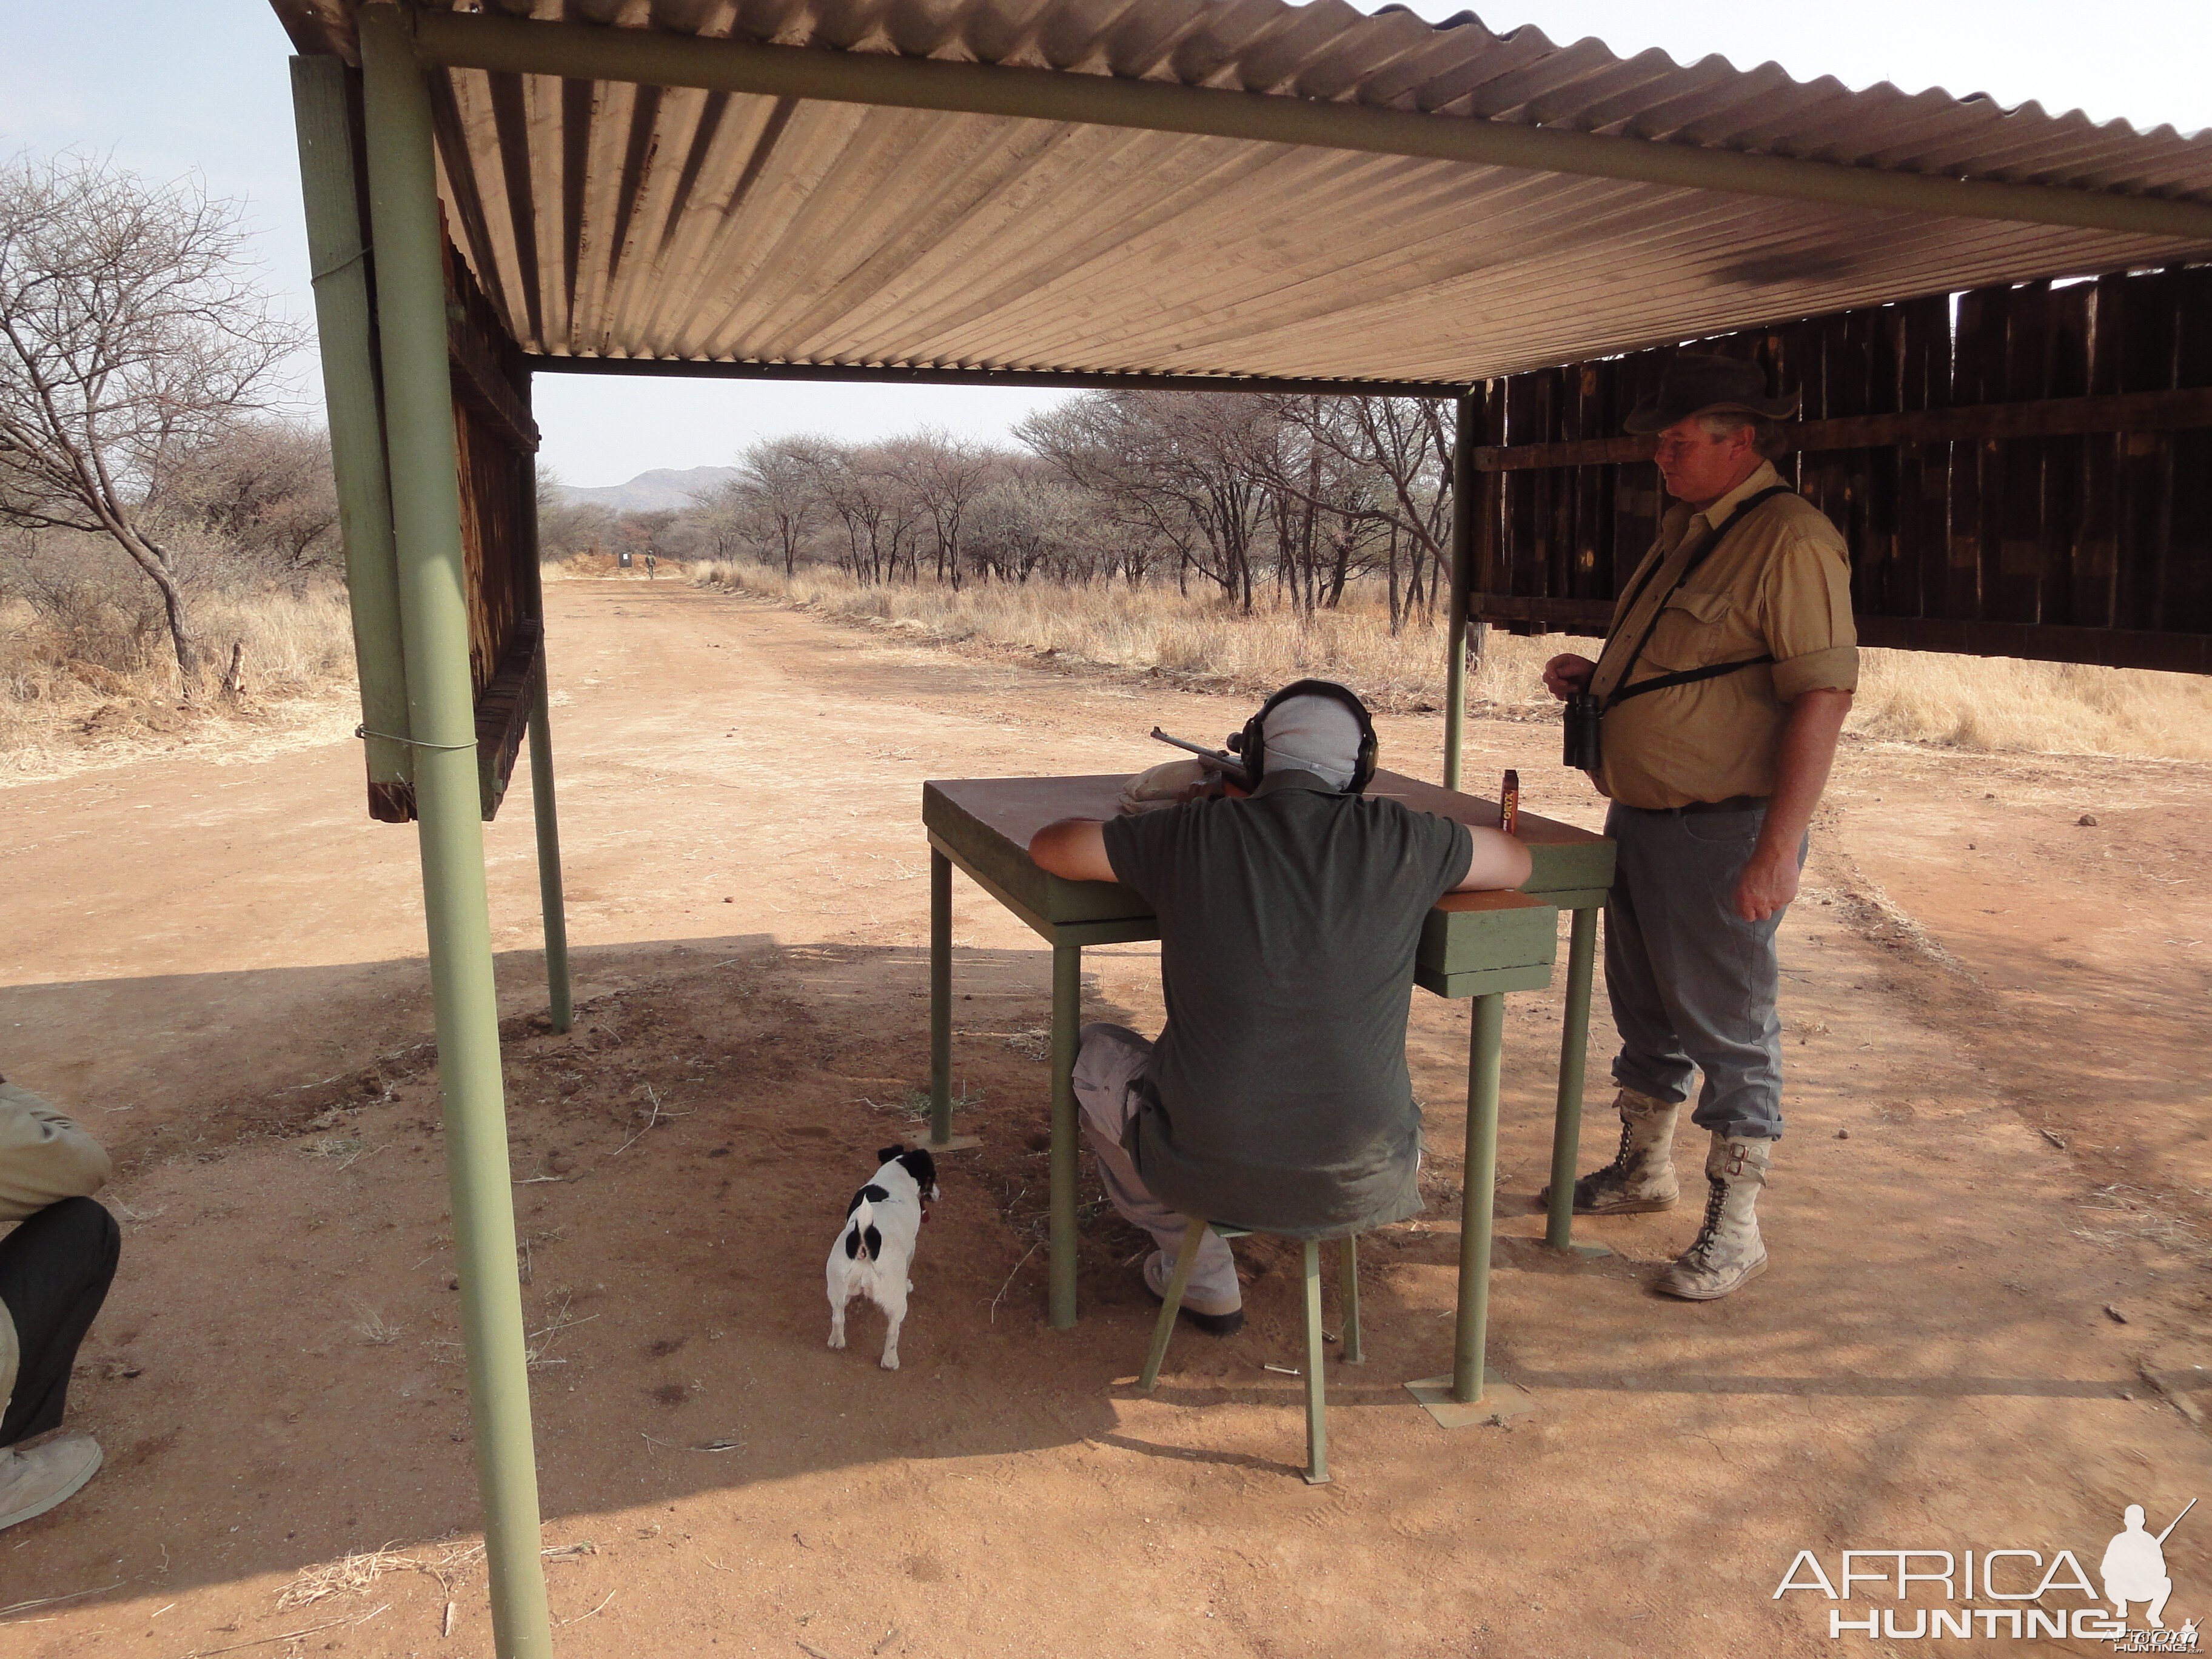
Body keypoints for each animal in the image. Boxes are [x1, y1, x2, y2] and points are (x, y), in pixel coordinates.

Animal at [827, 1150, 937, 1371]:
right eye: (933, 1176)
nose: (939, 1195)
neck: (896, 1175)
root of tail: (864, 1246)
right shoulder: (912, 1247)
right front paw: (908, 1283)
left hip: (836, 1289)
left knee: (838, 1318)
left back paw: (837, 1341)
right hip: (897, 1303)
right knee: (893, 1333)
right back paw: (890, 1360)